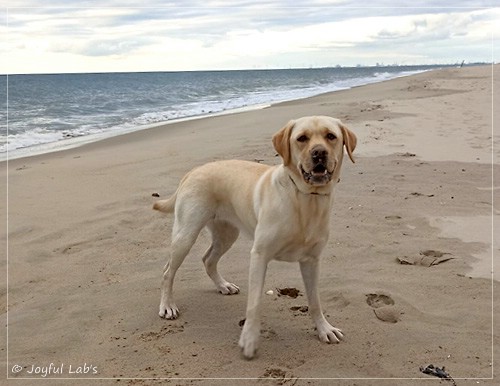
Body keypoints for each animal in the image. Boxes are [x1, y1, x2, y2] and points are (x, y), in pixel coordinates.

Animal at [152, 115, 356, 358]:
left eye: (331, 136)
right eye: (302, 138)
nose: (319, 153)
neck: (306, 199)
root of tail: (192, 171)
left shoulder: (311, 261)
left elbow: (315, 300)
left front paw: (324, 329)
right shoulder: (260, 255)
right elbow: (254, 303)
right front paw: (249, 340)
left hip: (227, 234)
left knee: (208, 259)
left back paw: (223, 285)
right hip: (186, 233)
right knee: (167, 271)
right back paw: (167, 306)